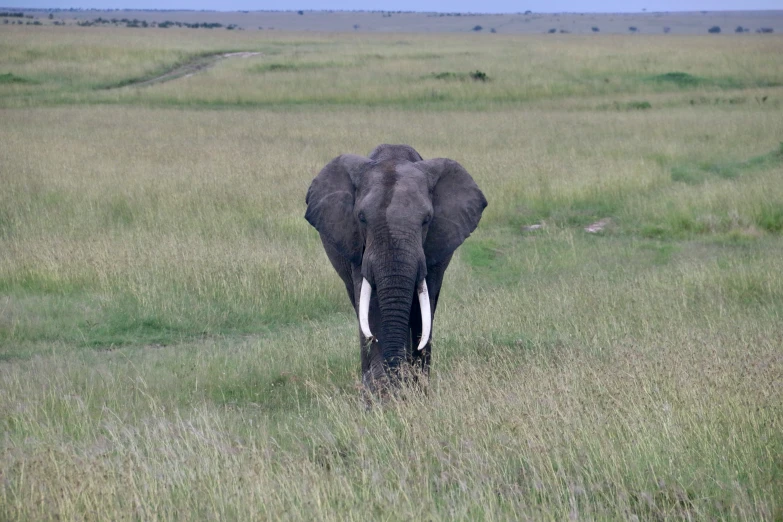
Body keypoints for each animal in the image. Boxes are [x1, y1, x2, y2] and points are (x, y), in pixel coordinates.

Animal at [304, 144, 484, 392]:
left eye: (427, 220)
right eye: (361, 218)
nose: (397, 374)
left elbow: (422, 311)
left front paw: (416, 388)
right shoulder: (357, 246)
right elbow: (370, 306)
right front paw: (380, 391)